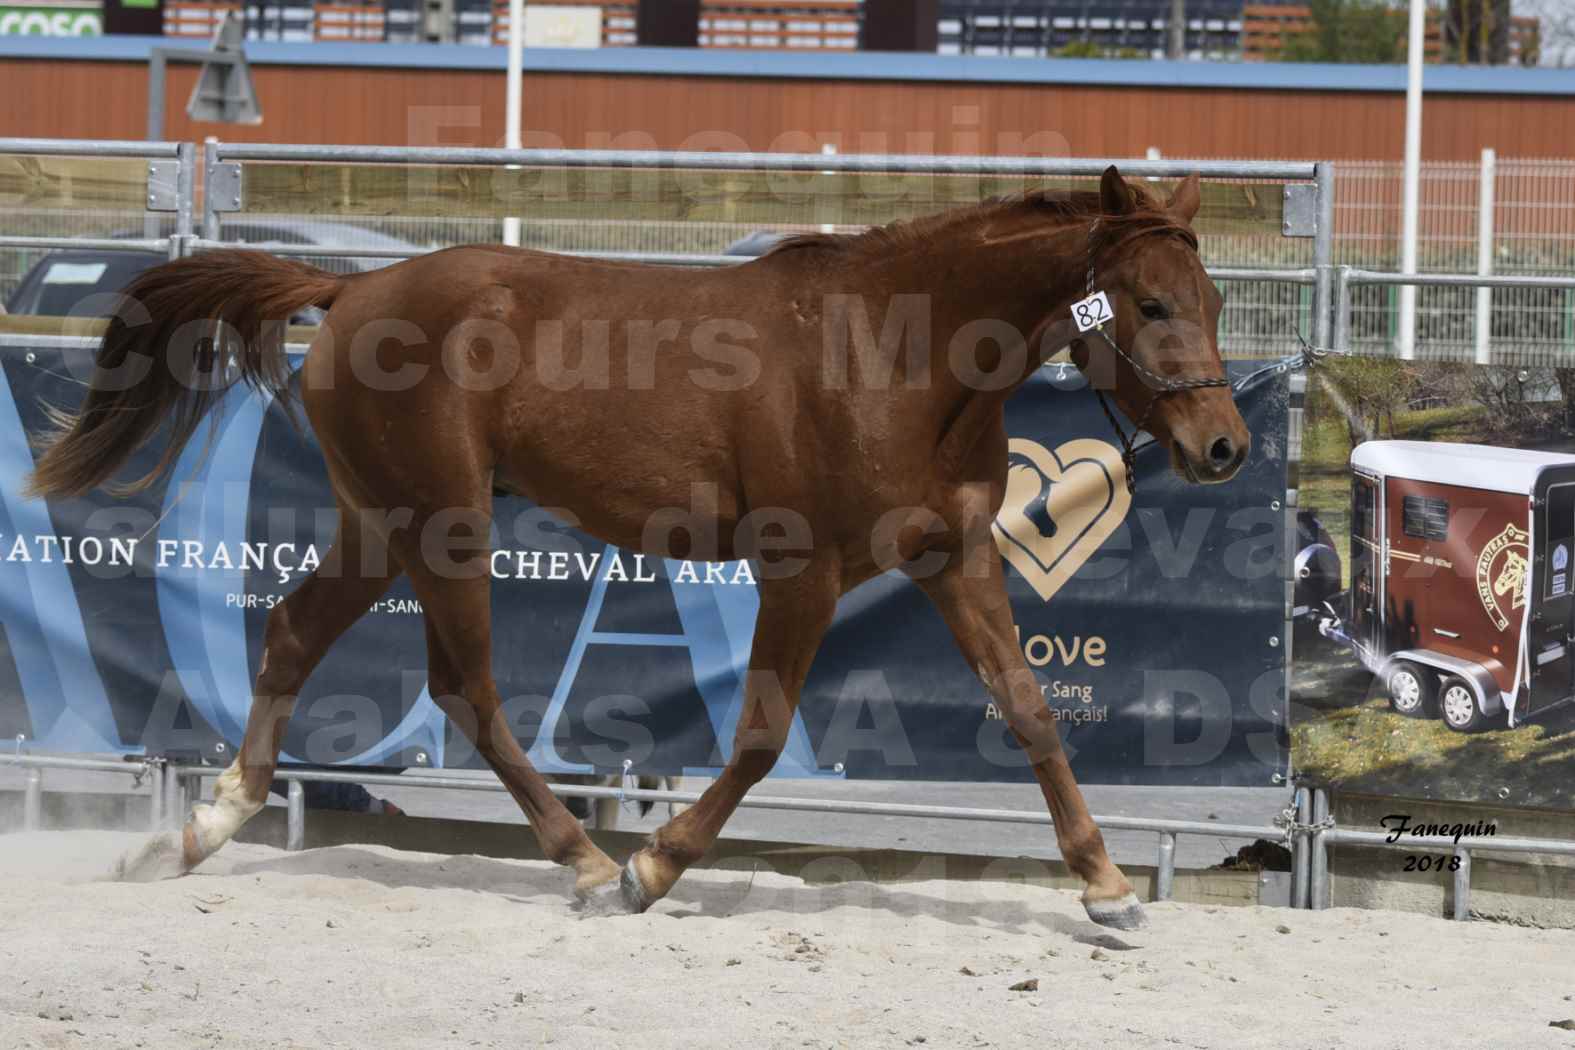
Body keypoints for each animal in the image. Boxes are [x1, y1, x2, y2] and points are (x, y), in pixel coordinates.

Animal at [27, 164, 1241, 925]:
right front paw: (655, 867)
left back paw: (201, 830)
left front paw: (1106, 888)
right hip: (439, 520)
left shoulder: (956, 557)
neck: (898, 357)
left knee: (291, 634)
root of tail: (356, 284)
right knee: (466, 689)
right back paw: (584, 859)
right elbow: (759, 734)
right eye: (1145, 302)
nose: (1222, 446)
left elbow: (1030, 710)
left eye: (1215, 300)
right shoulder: (801, 570)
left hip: (380, 521)